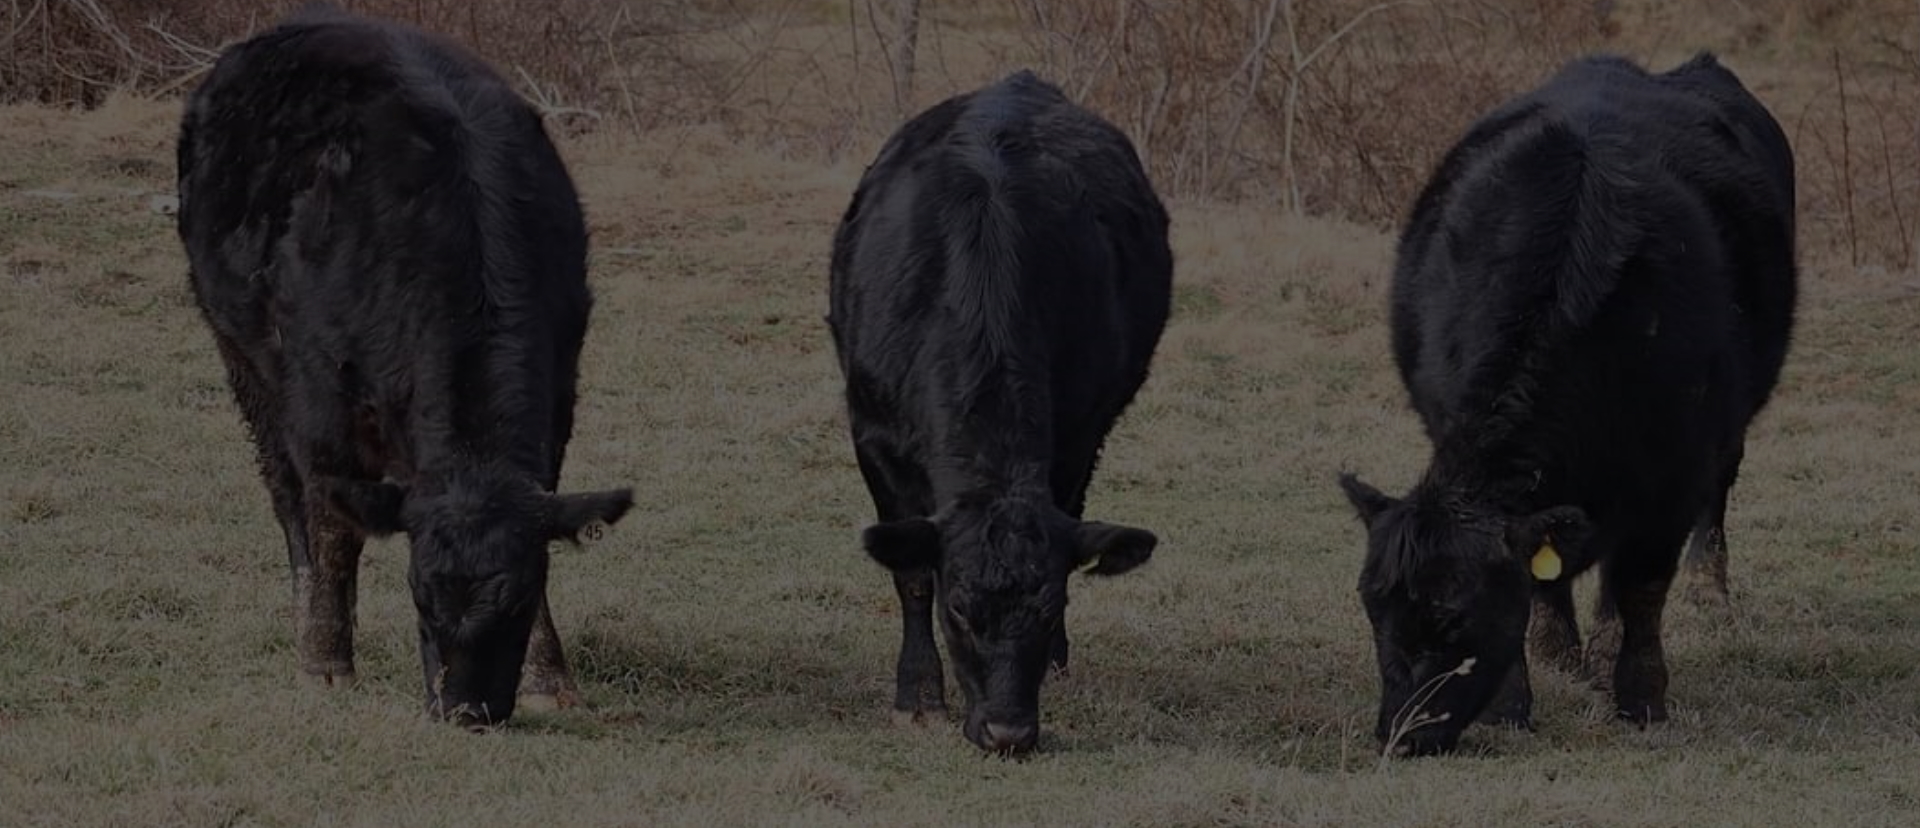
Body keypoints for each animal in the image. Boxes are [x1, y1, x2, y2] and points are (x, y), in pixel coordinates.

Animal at [176, 8, 633, 733]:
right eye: (419, 592)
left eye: (516, 597)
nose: (468, 710)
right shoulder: (321, 405)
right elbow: (333, 528)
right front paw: (326, 665)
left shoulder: (562, 392)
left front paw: (549, 676)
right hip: (240, 354)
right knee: (287, 498)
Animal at [833, 73, 1175, 756]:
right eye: (960, 609)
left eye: (1048, 607)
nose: (1008, 731)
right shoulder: (873, 436)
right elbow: (913, 572)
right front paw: (917, 697)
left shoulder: (1076, 436)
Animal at [1336, 55, 1797, 756]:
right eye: (1373, 609)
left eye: (1456, 618)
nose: (1401, 735)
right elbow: (1546, 579)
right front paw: (1538, 679)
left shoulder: (1675, 471)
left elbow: (1640, 589)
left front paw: (1640, 697)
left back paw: (1705, 595)